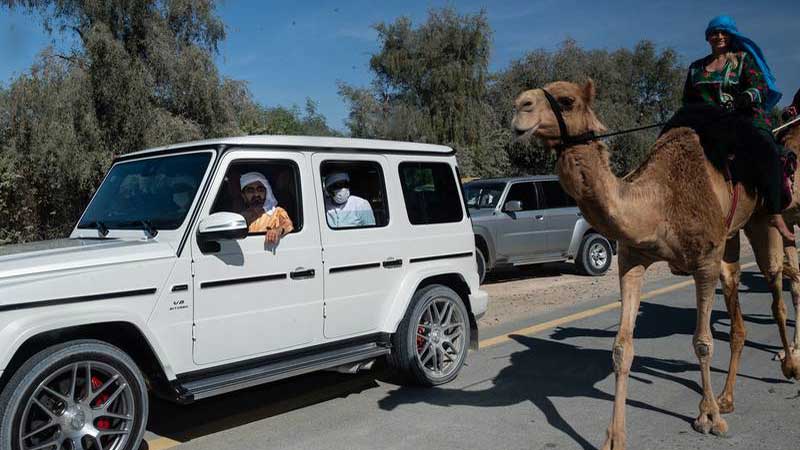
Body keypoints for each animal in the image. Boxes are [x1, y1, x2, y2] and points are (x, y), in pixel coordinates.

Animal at [511, 80, 800, 450]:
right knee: (738, 306)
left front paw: (708, 418)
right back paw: (727, 397)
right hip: (731, 239)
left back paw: (788, 365)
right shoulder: (632, 260)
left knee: (777, 286)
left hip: (764, 218)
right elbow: (622, 348)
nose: (520, 106)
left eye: (566, 100)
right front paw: (614, 437)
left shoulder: (704, 262)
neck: (658, 205)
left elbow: (703, 342)